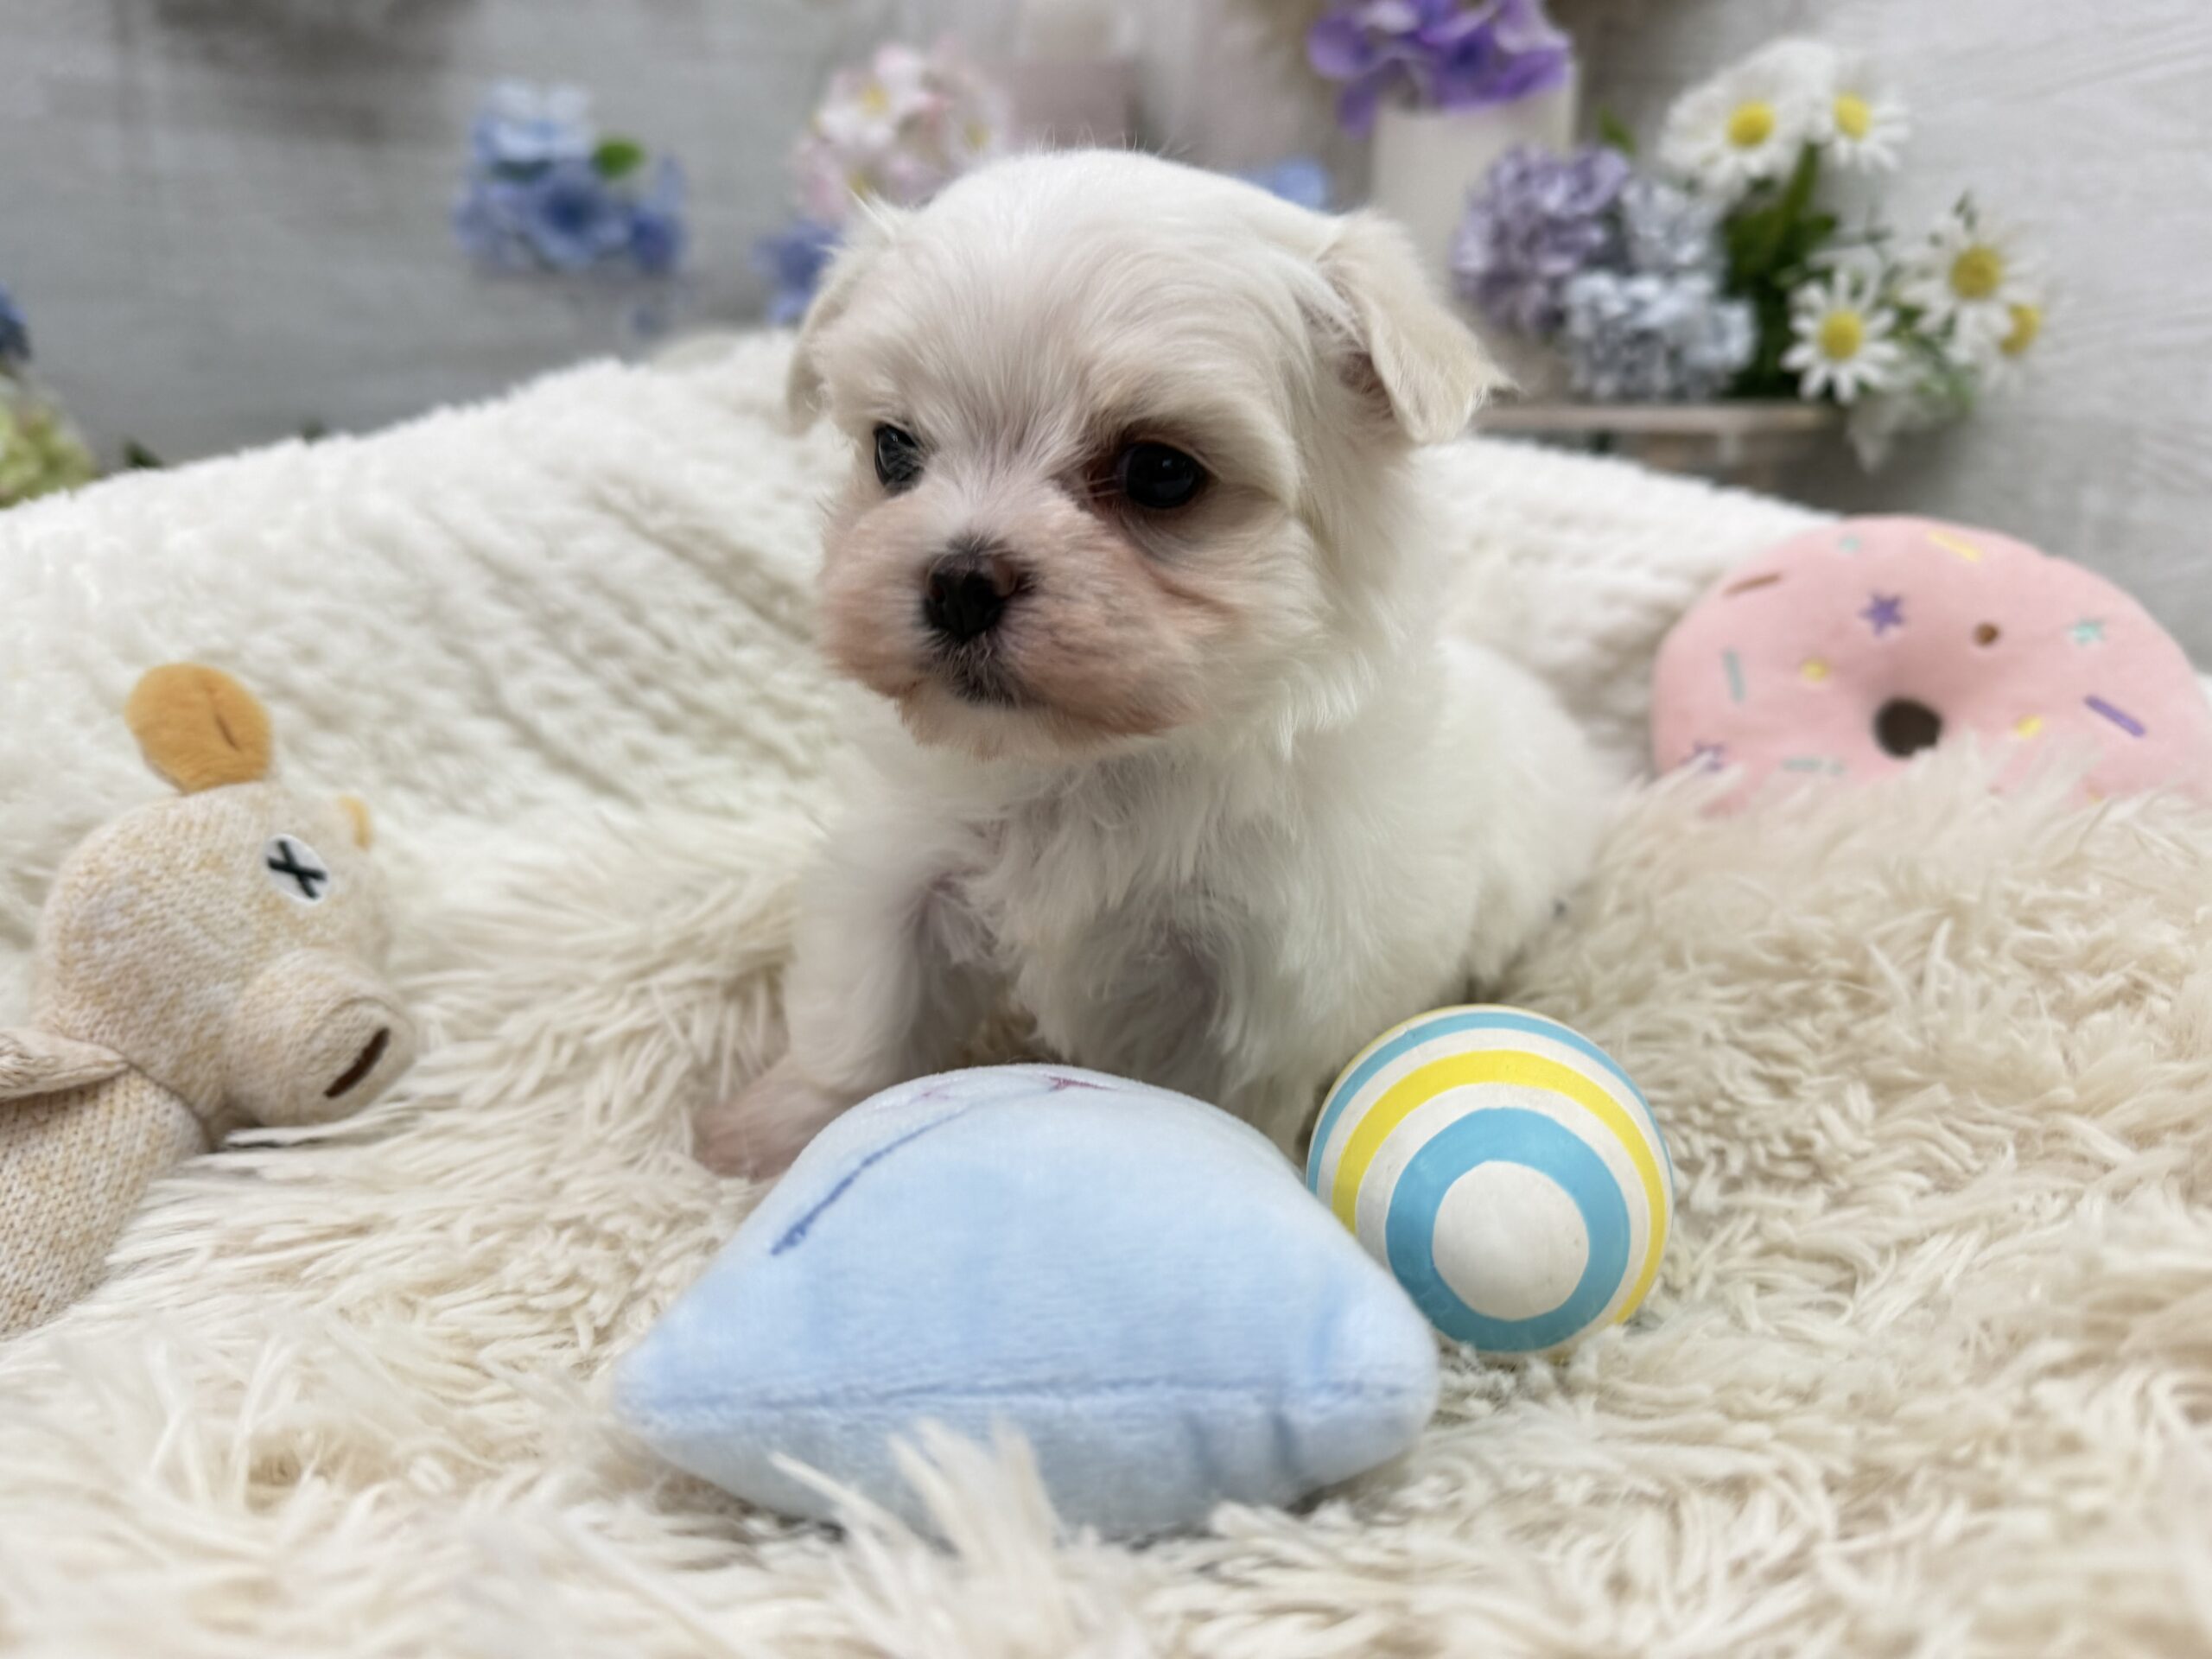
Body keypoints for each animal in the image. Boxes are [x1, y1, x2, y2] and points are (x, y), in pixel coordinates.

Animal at [695, 150, 1609, 1178]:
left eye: (1161, 473)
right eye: (894, 450)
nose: (960, 581)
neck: (1092, 767)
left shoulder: (1256, 983)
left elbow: (1217, 1110)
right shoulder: (903, 873)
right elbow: (863, 1019)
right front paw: (771, 1136)